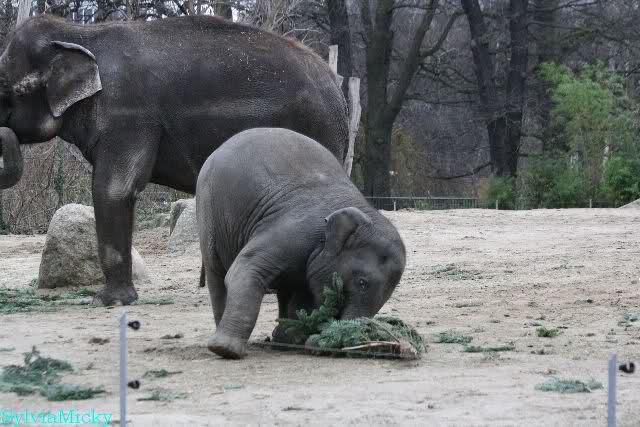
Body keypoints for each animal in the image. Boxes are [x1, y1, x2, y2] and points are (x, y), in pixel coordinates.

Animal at [0, 15, 348, 306]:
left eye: (8, 92)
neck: (80, 33)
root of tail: (335, 83)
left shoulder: (129, 116)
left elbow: (113, 189)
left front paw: (107, 302)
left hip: (317, 128)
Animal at [196, 128, 406, 359]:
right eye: (362, 283)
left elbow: (303, 294)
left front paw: (294, 340)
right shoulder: (292, 233)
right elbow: (243, 269)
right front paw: (228, 351)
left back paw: (281, 341)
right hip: (208, 208)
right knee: (217, 272)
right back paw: (223, 345)